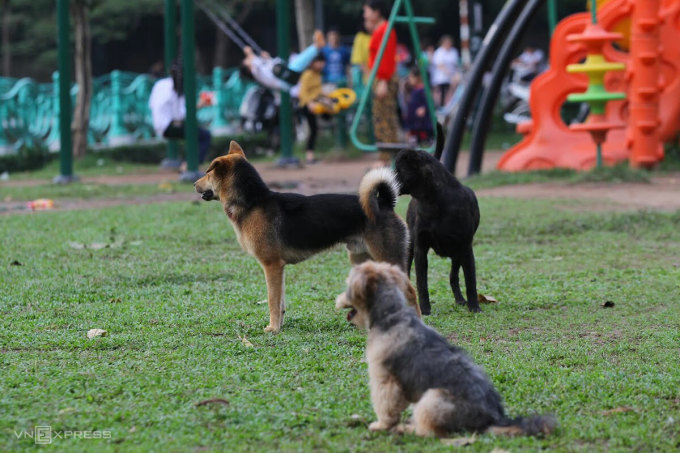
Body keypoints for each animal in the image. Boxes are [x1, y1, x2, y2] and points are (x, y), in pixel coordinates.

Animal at [194, 141, 420, 332]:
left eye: (207, 173)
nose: (195, 184)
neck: (253, 203)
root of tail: (384, 204)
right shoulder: (279, 268)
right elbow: (280, 302)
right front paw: (280, 325)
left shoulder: (271, 266)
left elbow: (272, 300)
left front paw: (273, 328)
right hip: (362, 258)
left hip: (387, 258)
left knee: (410, 291)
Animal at [394, 125, 484, 312]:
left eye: (398, 171)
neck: (433, 201)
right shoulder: (420, 249)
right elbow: (422, 283)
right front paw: (425, 309)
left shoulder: (465, 248)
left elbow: (470, 281)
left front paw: (474, 307)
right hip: (411, 246)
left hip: (457, 254)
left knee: (453, 276)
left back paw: (460, 300)